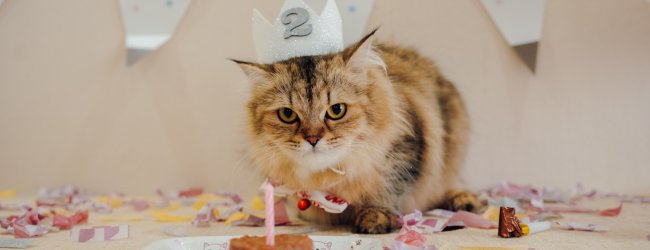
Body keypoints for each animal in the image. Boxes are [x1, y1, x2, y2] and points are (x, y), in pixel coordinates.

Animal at [235, 29, 478, 234]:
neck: (326, 180)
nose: (313, 138)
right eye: (287, 114)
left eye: (336, 110)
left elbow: (387, 188)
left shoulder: (406, 151)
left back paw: (463, 200)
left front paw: (375, 217)